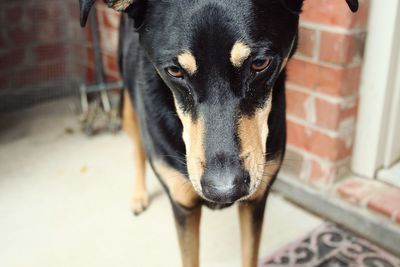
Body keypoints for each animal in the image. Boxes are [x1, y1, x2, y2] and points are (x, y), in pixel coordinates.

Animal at [79, 1, 360, 266]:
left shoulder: (255, 200)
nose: (224, 190)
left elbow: (250, 256)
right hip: (128, 104)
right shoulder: (183, 205)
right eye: (174, 71)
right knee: (137, 145)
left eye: (260, 63)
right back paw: (139, 195)